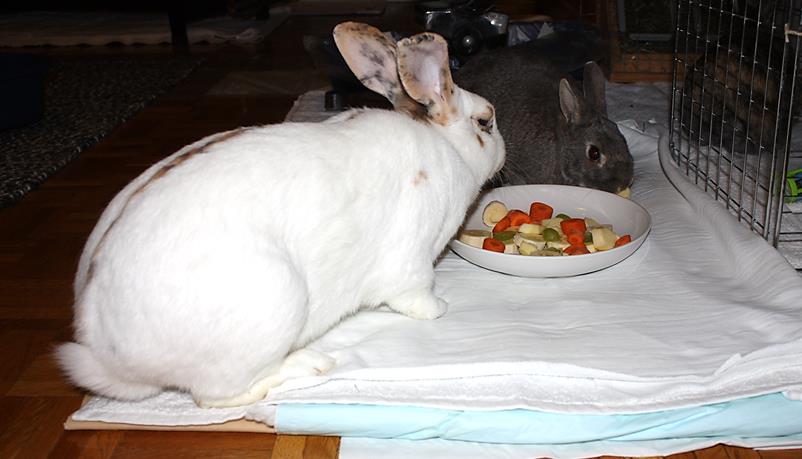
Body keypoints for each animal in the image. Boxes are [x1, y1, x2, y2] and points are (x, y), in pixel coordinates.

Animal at [56, 21, 505, 409]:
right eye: (486, 121)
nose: (503, 153)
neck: (445, 147)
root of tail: (107, 354)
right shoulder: (410, 264)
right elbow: (416, 297)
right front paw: (440, 308)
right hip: (273, 305)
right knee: (215, 395)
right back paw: (308, 364)